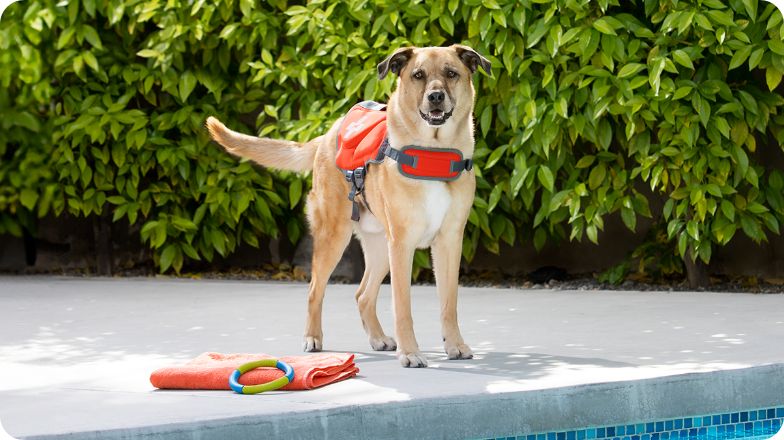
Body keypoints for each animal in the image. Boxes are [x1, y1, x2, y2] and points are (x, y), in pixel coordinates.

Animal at [208, 44, 490, 368]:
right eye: (418, 75)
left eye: (451, 73)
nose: (435, 97)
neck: (434, 152)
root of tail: (327, 135)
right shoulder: (402, 244)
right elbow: (402, 307)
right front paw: (410, 353)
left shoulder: (449, 242)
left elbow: (449, 303)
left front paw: (454, 345)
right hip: (336, 236)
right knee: (314, 290)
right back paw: (313, 337)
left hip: (381, 247)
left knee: (362, 295)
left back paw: (378, 338)